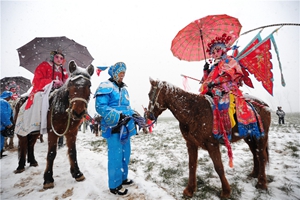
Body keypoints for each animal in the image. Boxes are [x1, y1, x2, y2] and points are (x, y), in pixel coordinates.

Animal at [13, 61, 94, 189]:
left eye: (89, 85)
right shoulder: (53, 132)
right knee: (24, 143)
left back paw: (32, 161)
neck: (61, 108)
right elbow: (51, 154)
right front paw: (48, 179)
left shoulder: (72, 132)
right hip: (22, 130)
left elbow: (73, 152)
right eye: (70, 84)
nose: (78, 112)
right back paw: (20, 166)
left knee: (30, 144)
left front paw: (77, 173)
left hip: (35, 132)